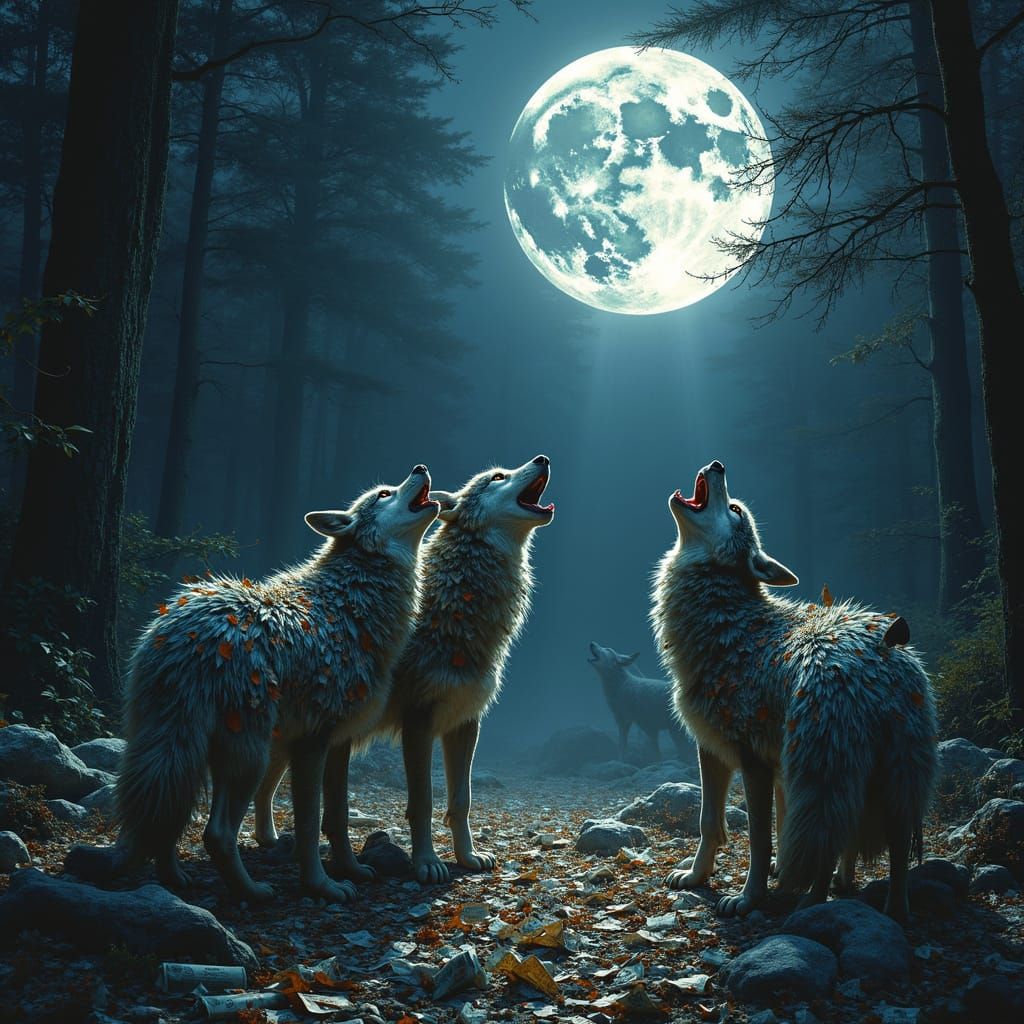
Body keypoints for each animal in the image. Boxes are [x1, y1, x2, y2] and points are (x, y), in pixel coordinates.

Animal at [66, 466, 438, 904]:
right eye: (383, 493)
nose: (419, 468)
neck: (351, 602)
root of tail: (182, 636)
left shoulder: (338, 742)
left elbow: (338, 818)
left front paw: (352, 870)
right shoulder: (311, 744)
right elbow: (309, 827)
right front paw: (322, 886)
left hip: (190, 750)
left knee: (173, 812)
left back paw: (176, 878)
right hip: (251, 758)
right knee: (216, 833)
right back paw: (253, 892)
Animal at [650, 460, 937, 922]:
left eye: (735, 509)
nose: (717, 465)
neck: (726, 621)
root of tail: (883, 651)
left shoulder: (753, 763)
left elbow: (758, 839)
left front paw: (750, 896)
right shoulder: (721, 751)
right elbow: (712, 824)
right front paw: (697, 878)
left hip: (822, 773)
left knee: (829, 841)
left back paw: (811, 904)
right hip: (886, 781)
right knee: (889, 850)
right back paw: (889, 909)